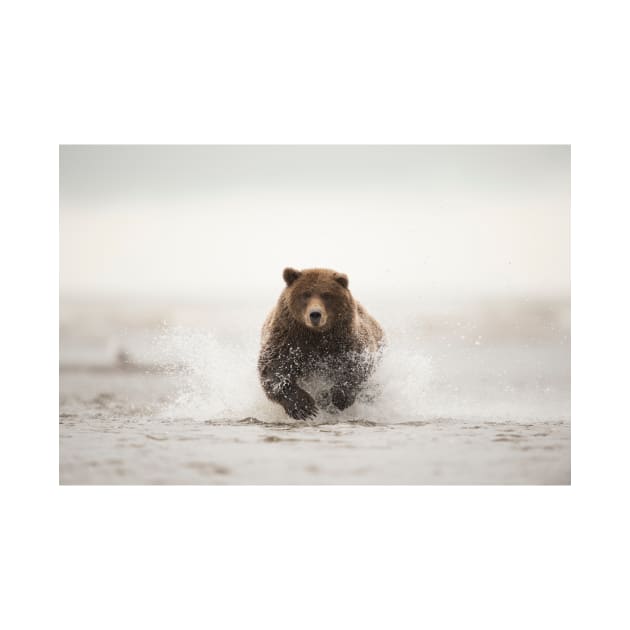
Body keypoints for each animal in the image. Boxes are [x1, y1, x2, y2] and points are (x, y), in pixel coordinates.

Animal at [258, 266, 386, 420]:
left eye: (326, 295)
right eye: (305, 294)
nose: (315, 314)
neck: (316, 334)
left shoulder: (345, 340)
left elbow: (357, 366)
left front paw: (333, 398)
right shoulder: (288, 339)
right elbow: (274, 368)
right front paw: (304, 407)